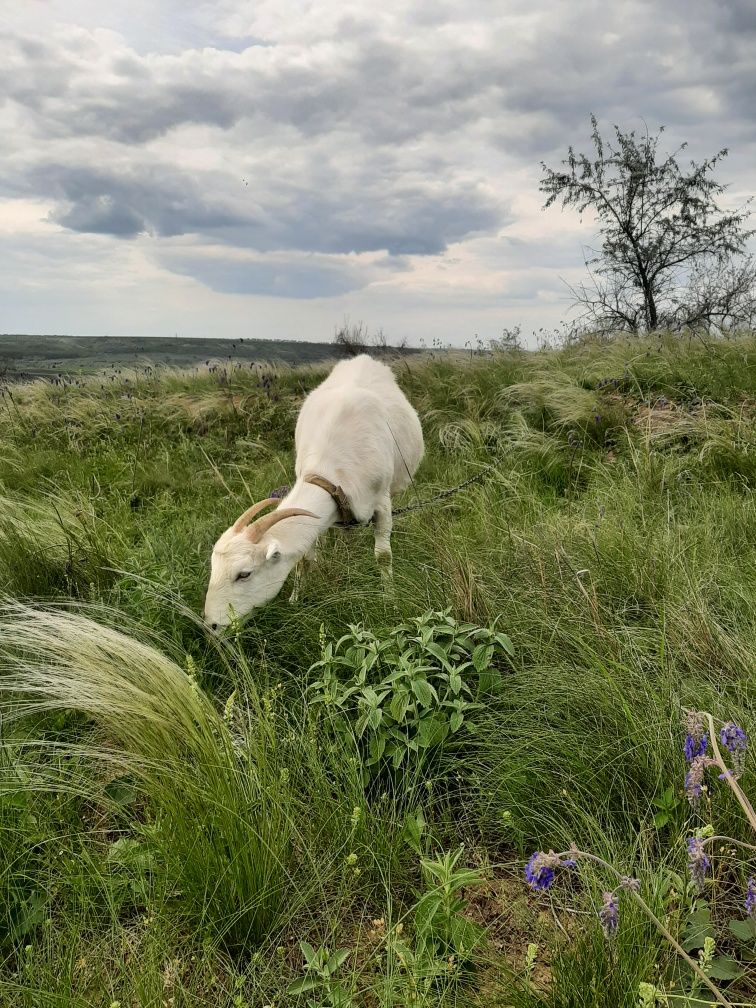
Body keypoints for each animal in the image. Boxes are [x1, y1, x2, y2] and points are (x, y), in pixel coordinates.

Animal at [204, 350, 423, 624]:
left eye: (244, 574)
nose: (211, 625)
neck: (328, 470)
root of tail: (362, 358)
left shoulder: (382, 503)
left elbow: (383, 556)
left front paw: (390, 601)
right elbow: (305, 558)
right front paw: (295, 599)